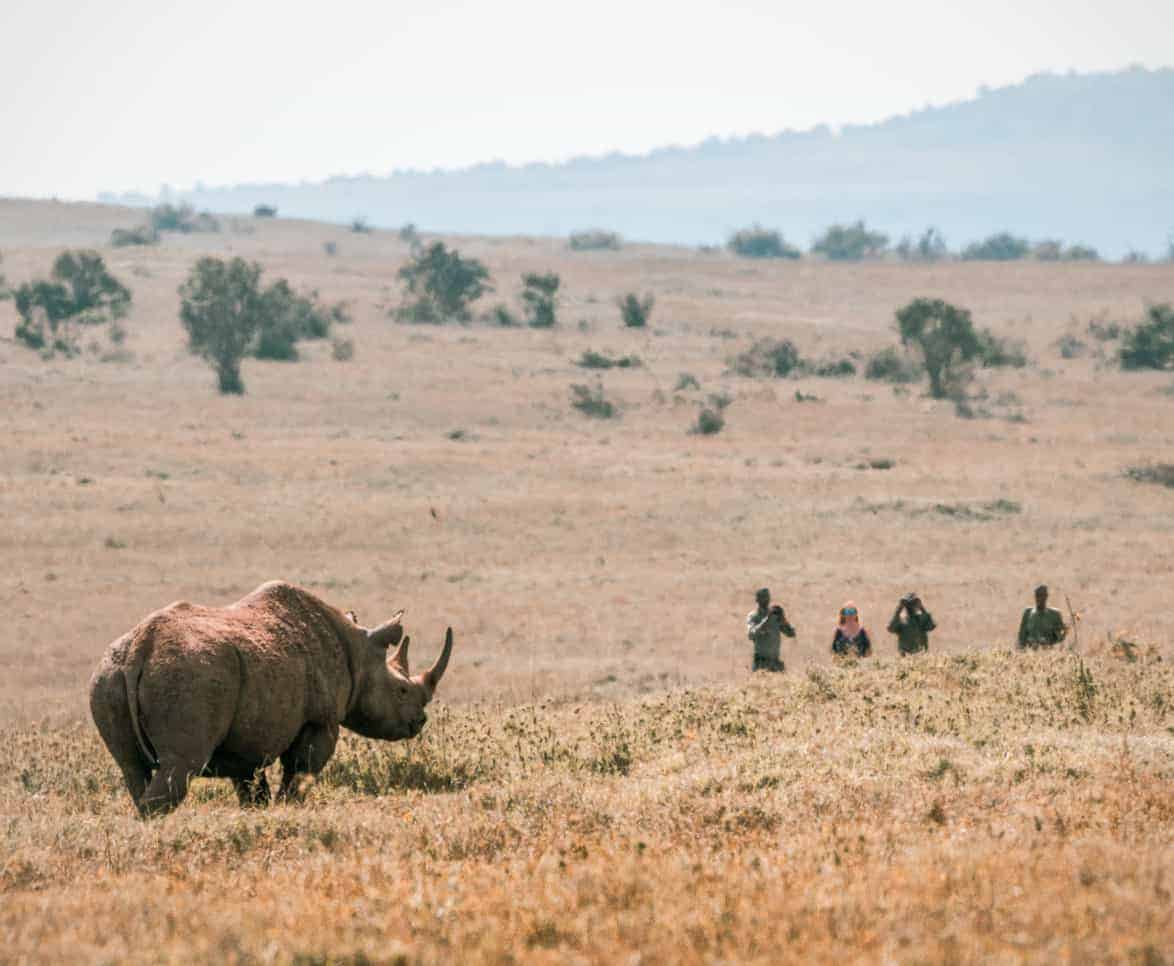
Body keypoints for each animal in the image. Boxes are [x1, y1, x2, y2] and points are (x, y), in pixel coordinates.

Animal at [86, 582, 450, 816]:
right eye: (401, 690)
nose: (419, 722)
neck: (358, 651)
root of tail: (141, 647)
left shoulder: (245, 739)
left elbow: (252, 789)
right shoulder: (320, 721)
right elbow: (300, 774)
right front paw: (288, 810)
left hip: (108, 676)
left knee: (132, 769)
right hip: (185, 675)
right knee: (180, 765)